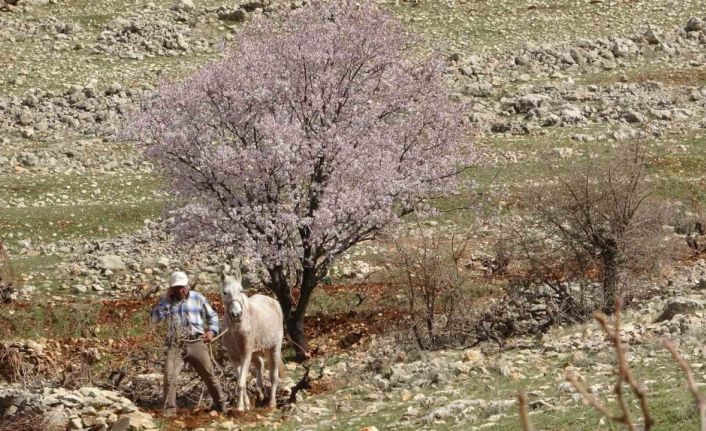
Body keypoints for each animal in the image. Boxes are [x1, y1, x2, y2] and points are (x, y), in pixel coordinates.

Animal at [221, 274, 284, 412]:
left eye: (241, 290)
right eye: (225, 292)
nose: (236, 314)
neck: (236, 329)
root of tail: (274, 302)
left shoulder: (246, 354)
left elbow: (241, 383)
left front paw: (240, 407)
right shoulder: (234, 358)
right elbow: (241, 380)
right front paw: (247, 404)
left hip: (274, 348)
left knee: (273, 375)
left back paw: (272, 403)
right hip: (256, 351)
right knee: (260, 365)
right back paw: (260, 393)